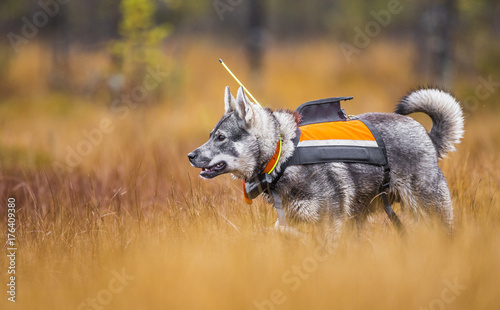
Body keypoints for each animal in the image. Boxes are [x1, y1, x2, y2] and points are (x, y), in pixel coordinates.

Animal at [188, 86, 464, 231]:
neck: (282, 155)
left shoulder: (329, 226)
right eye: (211, 135)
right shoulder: (292, 228)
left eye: (221, 137)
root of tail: (426, 136)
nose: (190, 155)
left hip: (431, 212)